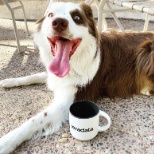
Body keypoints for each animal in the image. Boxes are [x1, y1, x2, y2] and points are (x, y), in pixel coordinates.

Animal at [0, 2, 154, 153]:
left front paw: (6, 142)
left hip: (147, 50)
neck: (75, 61)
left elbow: (34, 121)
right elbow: (36, 75)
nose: (59, 23)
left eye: (77, 18)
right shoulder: (56, 76)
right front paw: (9, 81)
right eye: (50, 15)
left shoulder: (66, 103)